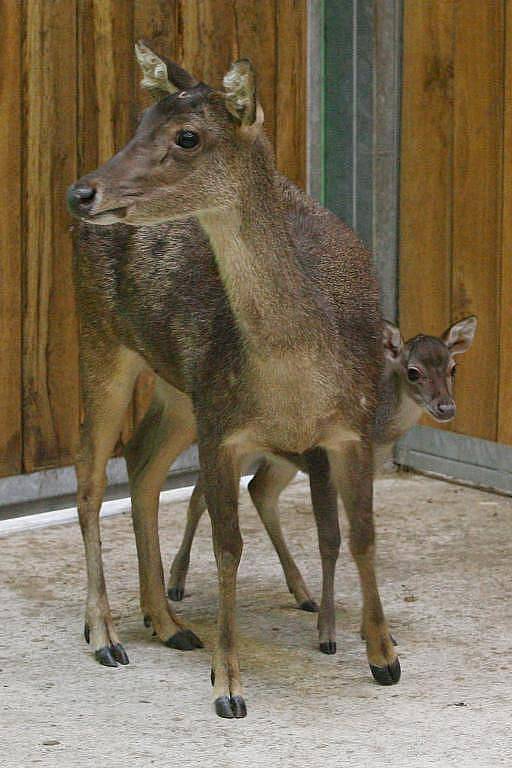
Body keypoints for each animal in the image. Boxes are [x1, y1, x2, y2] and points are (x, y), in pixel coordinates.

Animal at [68, 40, 394, 712]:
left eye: (187, 136)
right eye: (141, 122)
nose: (81, 192)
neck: (297, 381)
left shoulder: (353, 424)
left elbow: (363, 535)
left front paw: (384, 657)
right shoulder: (224, 428)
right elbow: (228, 548)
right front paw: (228, 685)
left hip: (181, 388)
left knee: (140, 463)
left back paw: (166, 622)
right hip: (102, 337)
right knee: (90, 473)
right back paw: (105, 633)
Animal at [167, 316, 476, 616]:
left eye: (453, 368)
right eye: (413, 371)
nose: (446, 407)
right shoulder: (319, 462)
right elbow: (330, 538)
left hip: (279, 459)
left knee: (259, 489)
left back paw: (303, 595)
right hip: (230, 445)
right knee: (199, 496)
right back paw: (175, 583)